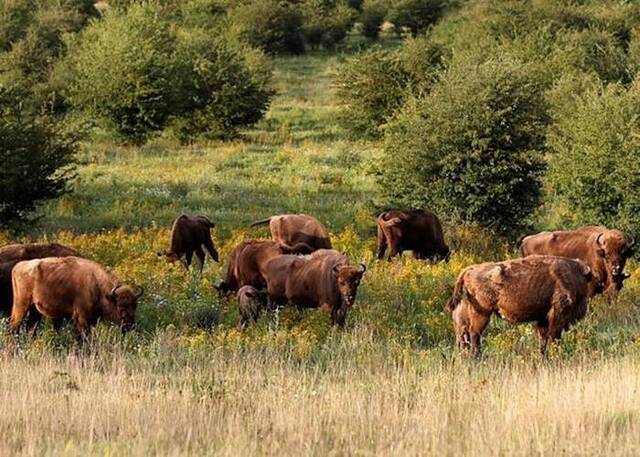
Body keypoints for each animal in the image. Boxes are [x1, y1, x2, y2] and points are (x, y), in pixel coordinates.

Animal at [10, 256, 143, 342]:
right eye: (120, 306)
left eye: (135, 305)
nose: (129, 325)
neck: (97, 285)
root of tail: (18, 266)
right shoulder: (82, 319)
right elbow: (83, 337)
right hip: (21, 305)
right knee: (14, 326)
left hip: (35, 310)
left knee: (31, 328)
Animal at [448, 255, 592, 354]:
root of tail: (469, 270)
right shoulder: (557, 315)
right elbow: (554, 338)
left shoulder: (543, 319)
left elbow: (543, 341)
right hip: (482, 315)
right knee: (475, 335)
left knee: (465, 338)